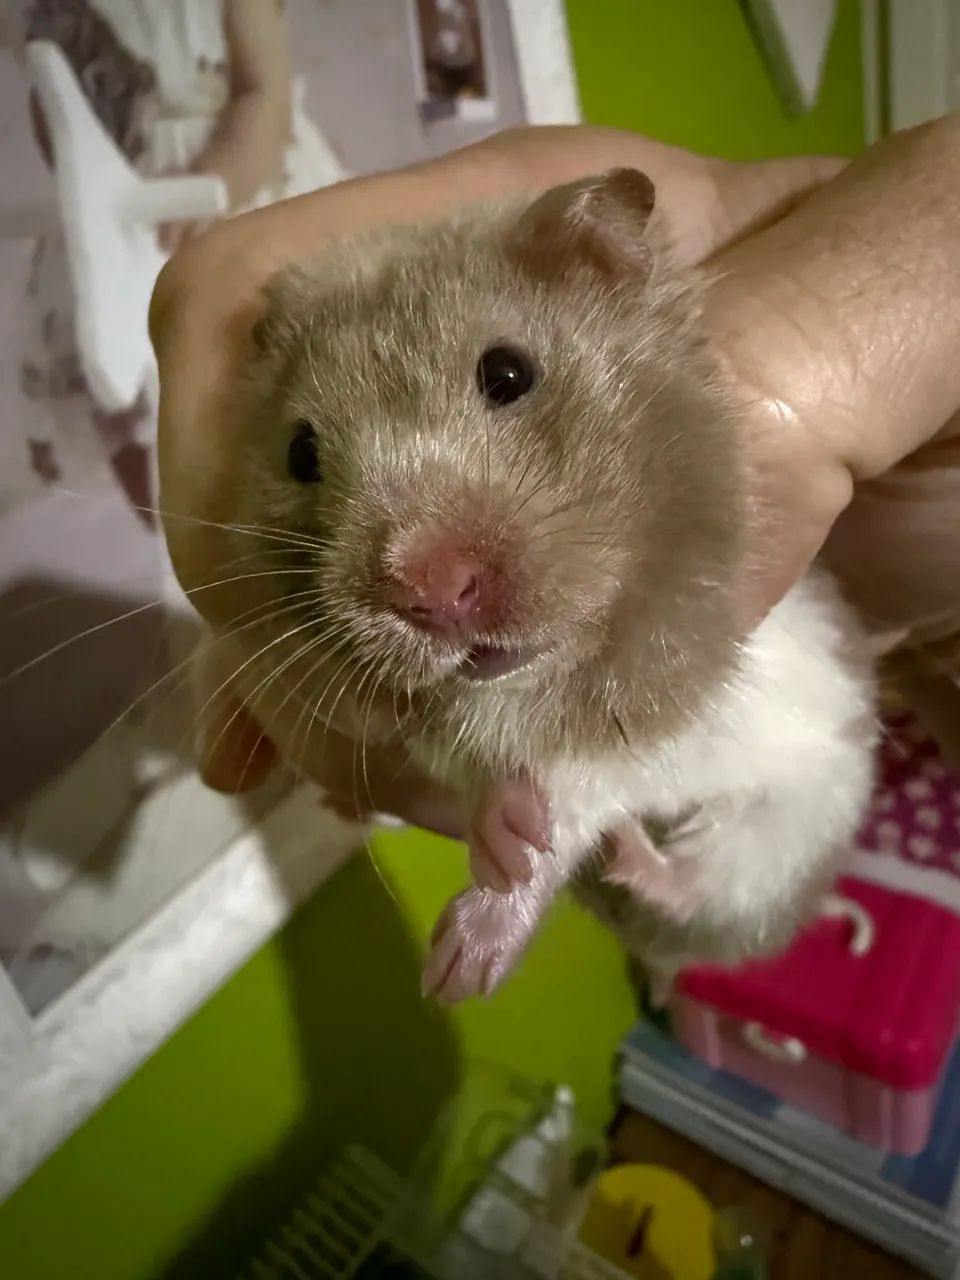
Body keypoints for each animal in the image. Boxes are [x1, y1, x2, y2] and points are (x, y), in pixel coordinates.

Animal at [217, 167, 876, 1003]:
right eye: (300, 454)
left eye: (508, 373)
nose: (433, 591)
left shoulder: (660, 693)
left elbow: (569, 794)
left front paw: (457, 968)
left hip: (789, 825)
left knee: (704, 883)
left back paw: (635, 859)